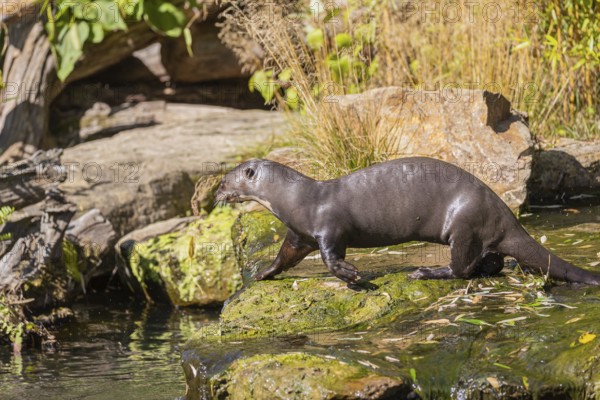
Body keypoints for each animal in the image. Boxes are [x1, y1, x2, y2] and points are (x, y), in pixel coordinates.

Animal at [216, 158, 600, 286]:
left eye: (223, 181)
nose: (217, 194)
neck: (297, 200)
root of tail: (505, 214)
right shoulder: (300, 234)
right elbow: (284, 256)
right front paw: (262, 273)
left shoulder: (328, 229)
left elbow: (331, 258)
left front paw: (352, 275)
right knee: (491, 262)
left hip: (464, 221)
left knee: (462, 268)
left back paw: (425, 272)